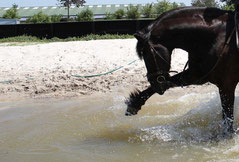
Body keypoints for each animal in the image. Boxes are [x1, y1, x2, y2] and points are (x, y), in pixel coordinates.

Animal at [124, 6, 239, 134]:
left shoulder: (226, 86)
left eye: (147, 55)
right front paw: (135, 102)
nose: (155, 84)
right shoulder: (196, 76)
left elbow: (228, 121)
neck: (215, 38)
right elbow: (166, 84)